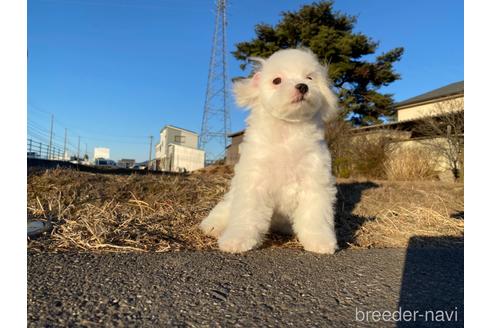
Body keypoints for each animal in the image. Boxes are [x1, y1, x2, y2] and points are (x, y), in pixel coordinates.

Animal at [200, 48, 338, 254]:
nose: (303, 86)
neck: (288, 129)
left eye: (309, 78)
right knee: (222, 211)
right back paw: (213, 227)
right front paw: (237, 240)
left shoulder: (314, 181)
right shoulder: (254, 182)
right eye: (277, 80)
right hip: (229, 201)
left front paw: (319, 241)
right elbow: (247, 216)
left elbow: (314, 215)